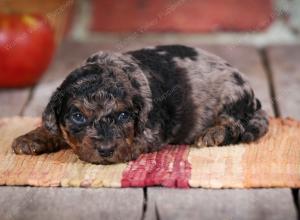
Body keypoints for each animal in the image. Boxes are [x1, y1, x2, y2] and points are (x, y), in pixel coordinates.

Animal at [12, 44, 270, 164]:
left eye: (124, 116)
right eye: (78, 116)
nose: (106, 150)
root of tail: (254, 100)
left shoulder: (152, 131)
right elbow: (53, 129)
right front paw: (30, 138)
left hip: (232, 95)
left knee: (234, 123)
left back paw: (213, 133)